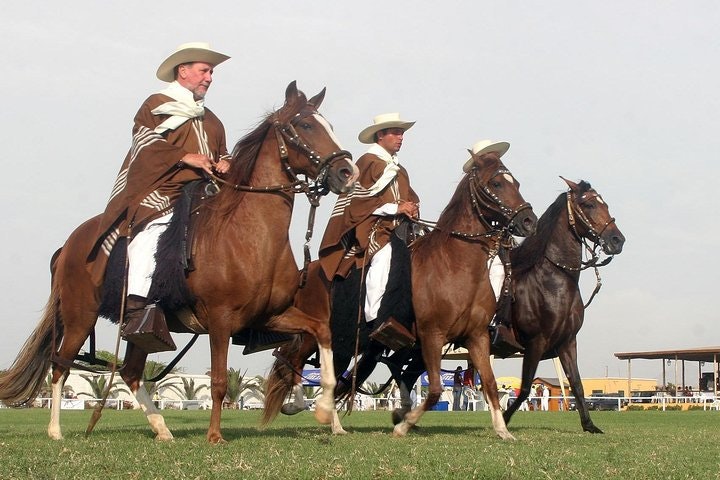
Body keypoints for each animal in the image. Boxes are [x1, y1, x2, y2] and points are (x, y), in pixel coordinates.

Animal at [0, 81, 359, 444]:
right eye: (306, 125)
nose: (348, 172)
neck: (249, 235)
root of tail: (69, 244)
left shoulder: (270, 316)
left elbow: (320, 333)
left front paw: (323, 409)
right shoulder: (220, 320)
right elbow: (218, 382)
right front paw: (214, 436)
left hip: (142, 330)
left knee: (131, 372)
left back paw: (162, 429)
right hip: (80, 318)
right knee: (60, 365)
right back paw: (56, 430)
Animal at [263, 149, 537, 439]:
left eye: (516, 183)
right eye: (497, 183)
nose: (529, 221)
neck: (455, 266)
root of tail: (306, 273)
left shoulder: (477, 337)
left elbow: (490, 383)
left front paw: (503, 431)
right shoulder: (431, 335)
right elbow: (435, 389)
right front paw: (403, 424)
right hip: (316, 335)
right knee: (293, 362)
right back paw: (305, 408)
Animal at [501, 177, 625, 433]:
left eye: (605, 204)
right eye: (588, 205)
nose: (617, 240)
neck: (553, 281)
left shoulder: (567, 343)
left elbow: (577, 384)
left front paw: (589, 425)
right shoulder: (535, 343)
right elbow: (525, 388)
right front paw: (504, 419)